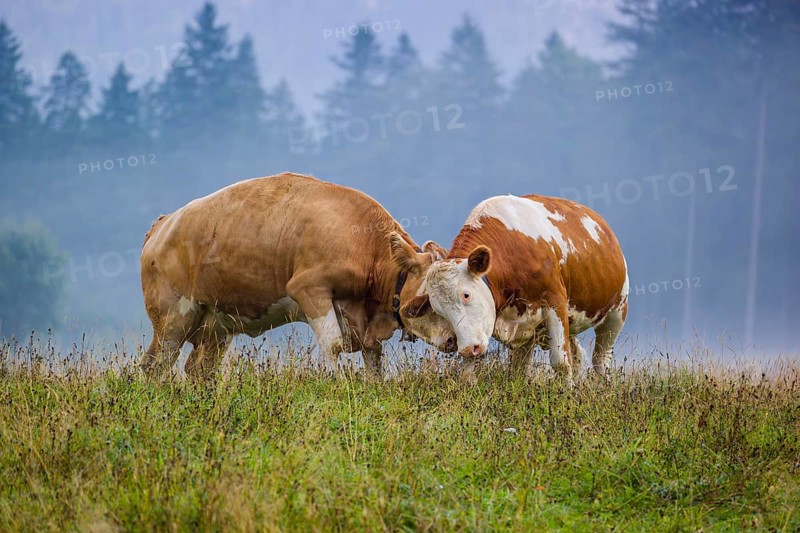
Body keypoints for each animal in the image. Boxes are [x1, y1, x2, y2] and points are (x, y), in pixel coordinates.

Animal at [140, 172, 494, 379]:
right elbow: (334, 348)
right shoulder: (309, 288)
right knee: (155, 364)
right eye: (425, 303)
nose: (454, 341)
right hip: (172, 317)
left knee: (198, 369)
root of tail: (163, 223)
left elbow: (374, 358)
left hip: (217, 326)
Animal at [395, 194, 629, 382]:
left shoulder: (555, 301)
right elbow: (472, 372)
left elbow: (561, 363)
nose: (469, 348)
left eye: (466, 295)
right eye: (439, 311)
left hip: (617, 312)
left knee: (601, 360)